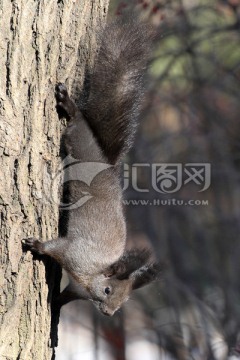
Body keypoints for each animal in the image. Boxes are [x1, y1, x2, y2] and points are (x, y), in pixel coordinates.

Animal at [23, 17, 163, 316]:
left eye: (122, 303)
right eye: (108, 290)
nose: (109, 313)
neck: (91, 278)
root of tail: (106, 163)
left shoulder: (77, 288)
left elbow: (66, 296)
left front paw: (56, 307)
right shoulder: (76, 253)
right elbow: (54, 247)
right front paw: (36, 244)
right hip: (78, 142)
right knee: (79, 124)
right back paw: (69, 106)